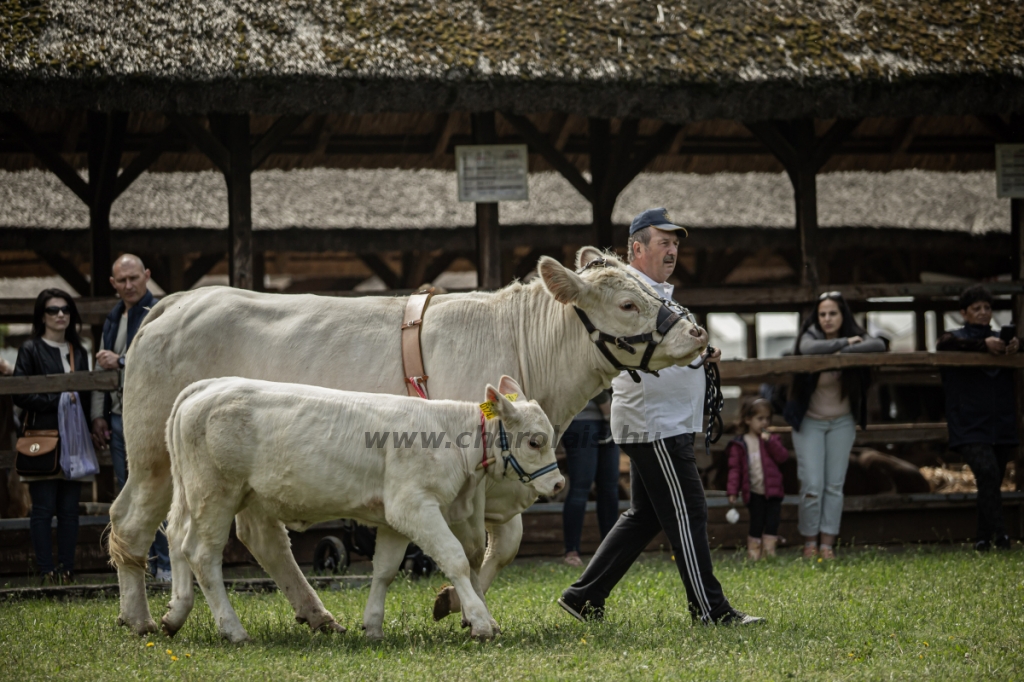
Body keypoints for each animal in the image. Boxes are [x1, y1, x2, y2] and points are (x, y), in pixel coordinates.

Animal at [171, 374, 565, 638]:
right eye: (535, 441)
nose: (559, 484)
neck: (448, 435)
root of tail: (207, 386)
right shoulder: (414, 506)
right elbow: (455, 559)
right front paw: (482, 623)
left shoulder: (393, 518)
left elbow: (385, 570)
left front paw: (373, 625)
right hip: (216, 493)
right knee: (203, 554)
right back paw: (233, 629)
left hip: (200, 495)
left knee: (179, 541)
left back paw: (173, 616)